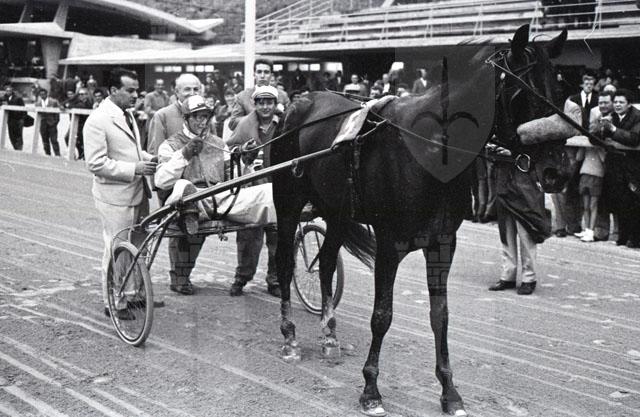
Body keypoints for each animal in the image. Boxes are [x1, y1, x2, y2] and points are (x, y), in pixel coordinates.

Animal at [270, 24, 573, 417]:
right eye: (523, 93)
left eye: (561, 92)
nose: (557, 171)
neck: (427, 152)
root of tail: (297, 102)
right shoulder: (389, 243)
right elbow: (382, 315)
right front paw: (371, 389)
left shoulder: (442, 243)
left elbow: (440, 316)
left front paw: (450, 391)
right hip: (288, 201)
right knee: (284, 262)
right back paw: (290, 336)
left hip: (336, 210)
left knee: (325, 265)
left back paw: (329, 336)